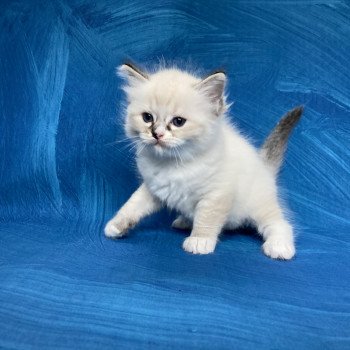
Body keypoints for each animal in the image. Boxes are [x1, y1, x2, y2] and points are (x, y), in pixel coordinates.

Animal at [104, 63, 304, 260]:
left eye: (178, 121)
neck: (174, 163)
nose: (157, 134)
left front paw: (200, 241)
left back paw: (279, 247)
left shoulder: (216, 194)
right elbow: (132, 204)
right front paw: (116, 225)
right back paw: (184, 221)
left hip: (259, 207)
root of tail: (264, 165)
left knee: (280, 224)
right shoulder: (153, 187)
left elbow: (207, 219)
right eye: (147, 118)